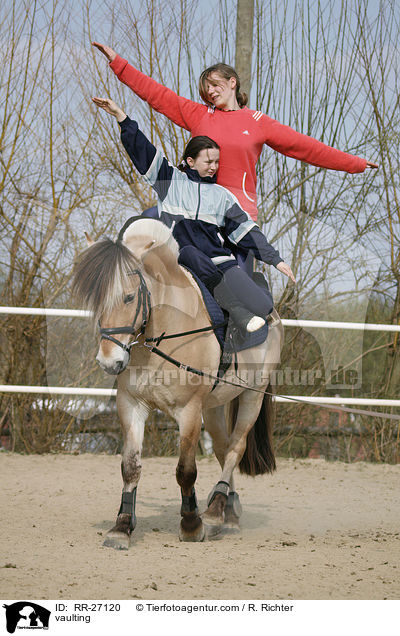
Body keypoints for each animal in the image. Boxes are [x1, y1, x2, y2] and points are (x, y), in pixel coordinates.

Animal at [72, 219, 284, 548]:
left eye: (129, 297)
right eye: (97, 299)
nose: (109, 361)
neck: (161, 336)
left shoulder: (189, 411)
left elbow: (185, 470)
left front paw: (191, 524)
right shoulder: (131, 405)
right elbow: (130, 467)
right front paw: (122, 526)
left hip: (253, 396)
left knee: (235, 448)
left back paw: (215, 511)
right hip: (214, 406)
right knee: (223, 448)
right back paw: (228, 512)